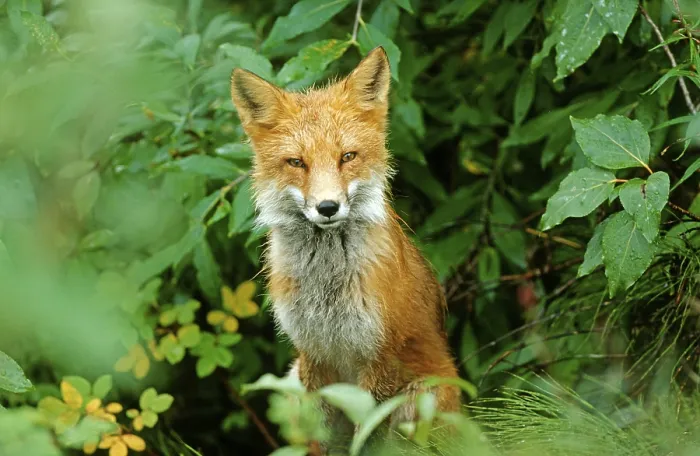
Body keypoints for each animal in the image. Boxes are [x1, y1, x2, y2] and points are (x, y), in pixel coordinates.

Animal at [230, 47, 461, 451]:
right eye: (297, 162)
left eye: (347, 157)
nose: (327, 207)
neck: (327, 291)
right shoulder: (313, 353)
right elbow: (318, 437)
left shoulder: (380, 356)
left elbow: (366, 437)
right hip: (291, 378)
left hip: (421, 399)